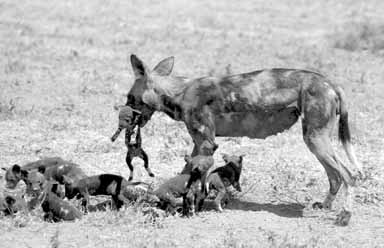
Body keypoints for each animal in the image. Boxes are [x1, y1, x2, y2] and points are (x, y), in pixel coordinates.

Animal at [124, 55, 362, 226]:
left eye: (129, 97)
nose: (123, 112)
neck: (178, 92)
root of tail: (330, 83)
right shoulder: (198, 145)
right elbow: (186, 174)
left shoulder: (206, 145)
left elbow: (193, 180)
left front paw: (191, 207)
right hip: (316, 141)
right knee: (335, 177)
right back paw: (325, 205)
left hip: (315, 140)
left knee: (349, 176)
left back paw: (345, 216)